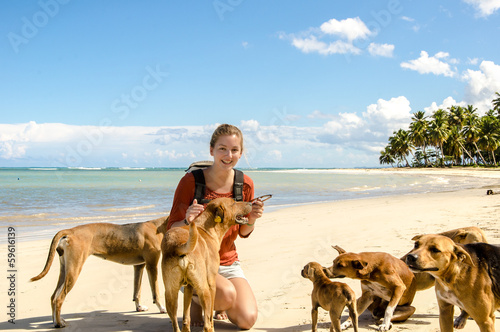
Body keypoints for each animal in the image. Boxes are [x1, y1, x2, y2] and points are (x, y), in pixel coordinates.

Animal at [31, 217, 168, 328]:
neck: (156, 226)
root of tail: (70, 231)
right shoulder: (151, 266)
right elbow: (156, 292)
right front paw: (161, 308)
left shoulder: (139, 266)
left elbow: (137, 292)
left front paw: (139, 307)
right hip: (74, 270)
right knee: (59, 298)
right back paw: (59, 323)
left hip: (65, 271)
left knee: (54, 296)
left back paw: (55, 321)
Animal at [162, 197, 252, 332]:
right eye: (234, 203)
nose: (251, 202)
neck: (207, 228)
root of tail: (179, 245)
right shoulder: (211, 283)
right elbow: (209, 316)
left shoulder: (189, 286)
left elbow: (186, 318)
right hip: (204, 289)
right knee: (207, 324)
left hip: (170, 293)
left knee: (176, 324)